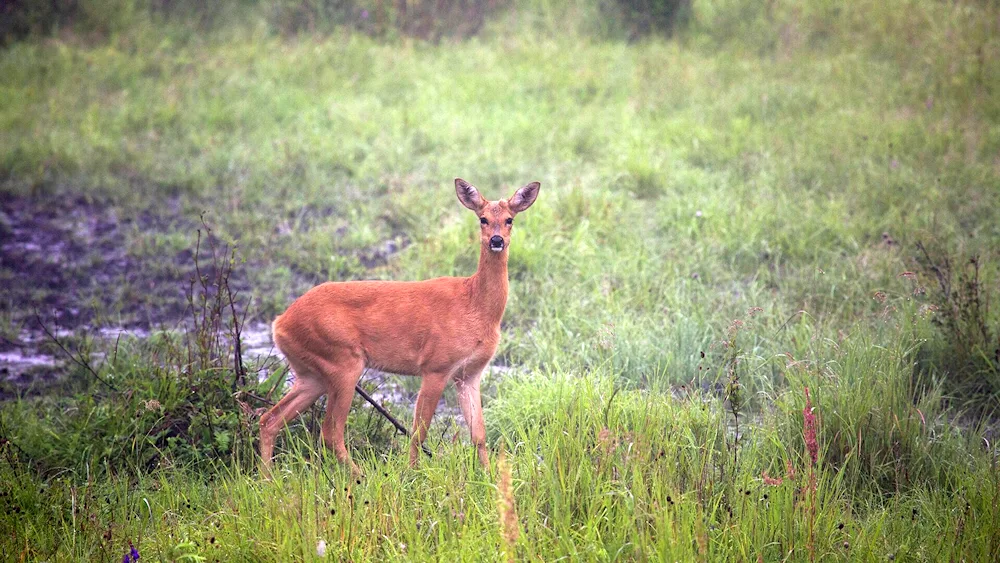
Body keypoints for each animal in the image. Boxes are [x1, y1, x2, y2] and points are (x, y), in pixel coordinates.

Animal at [258, 178, 540, 474]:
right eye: (483, 219)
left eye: (509, 219)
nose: (497, 240)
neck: (474, 305)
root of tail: (279, 323)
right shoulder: (435, 366)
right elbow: (419, 431)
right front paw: (414, 474)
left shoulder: (469, 374)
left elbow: (479, 435)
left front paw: (488, 476)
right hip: (342, 361)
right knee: (330, 430)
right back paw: (359, 477)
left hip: (312, 374)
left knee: (269, 419)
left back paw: (267, 478)